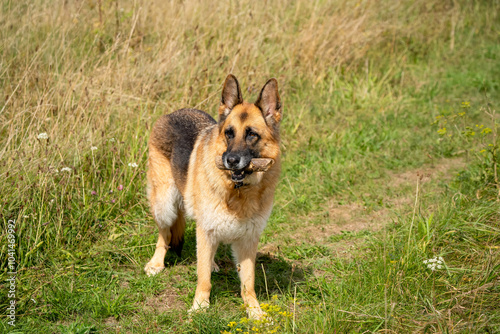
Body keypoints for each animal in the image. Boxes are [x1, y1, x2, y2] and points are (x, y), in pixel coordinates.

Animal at [145, 75, 282, 318]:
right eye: (229, 133)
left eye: (252, 135)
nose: (231, 161)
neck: (238, 190)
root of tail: (172, 113)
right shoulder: (206, 229)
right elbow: (203, 279)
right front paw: (200, 306)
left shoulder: (249, 239)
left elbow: (248, 282)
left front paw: (255, 311)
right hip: (164, 203)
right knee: (165, 234)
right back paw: (156, 263)